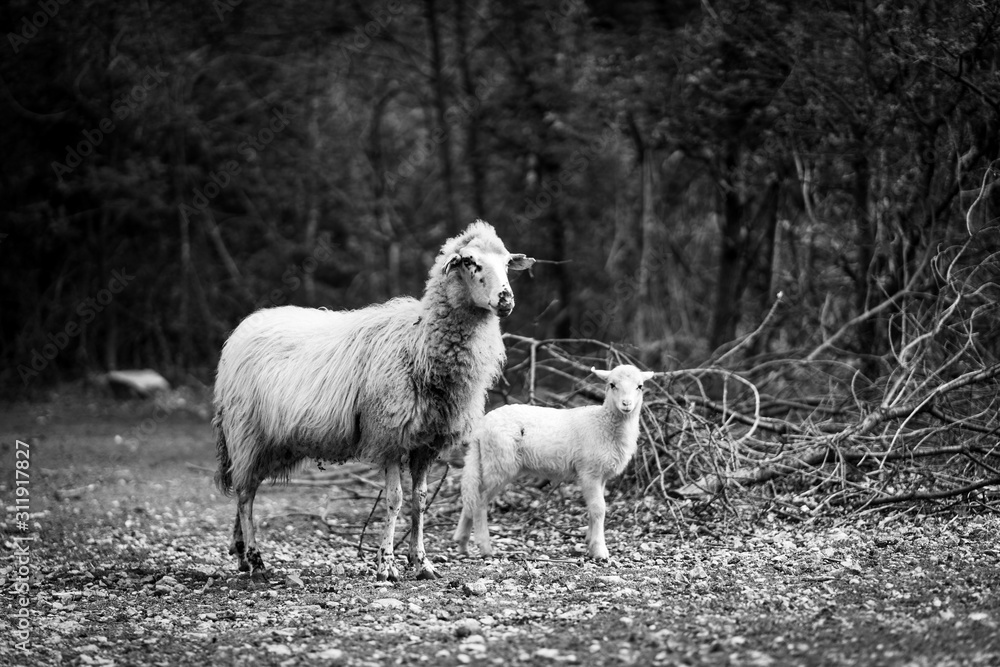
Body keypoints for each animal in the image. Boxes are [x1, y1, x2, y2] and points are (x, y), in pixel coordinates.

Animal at [213, 220, 534, 581]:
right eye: (469, 262)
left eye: (507, 263)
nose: (505, 299)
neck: (418, 343)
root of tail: (244, 327)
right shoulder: (390, 433)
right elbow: (394, 499)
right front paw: (387, 564)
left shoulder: (427, 443)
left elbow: (420, 499)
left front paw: (421, 562)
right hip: (246, 431)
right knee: (244, 495)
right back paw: (256, 562)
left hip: (272, 442)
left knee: (246, 487)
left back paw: (241, 554)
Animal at [453, 364, 655, 560]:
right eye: (612, 385)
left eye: (640, 386)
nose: (626, 404)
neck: (603, 423)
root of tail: (480, 429)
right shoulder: (589, 471)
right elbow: (599, 509)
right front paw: (599, 551)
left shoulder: (601, 474)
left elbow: (594, 508)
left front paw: (590, 543)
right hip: (500, 462)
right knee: (479, 500)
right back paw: (485, 547)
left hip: (484, 460)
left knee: (471, 495)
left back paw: (462, 543)